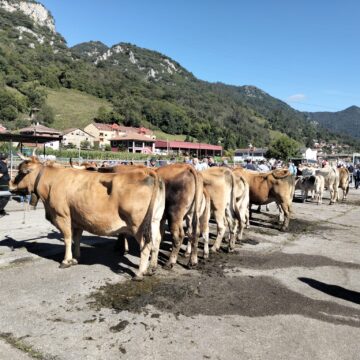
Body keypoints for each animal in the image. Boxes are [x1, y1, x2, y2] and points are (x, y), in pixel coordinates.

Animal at [9, 154, 165, 278]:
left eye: (21, 171)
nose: (10, 184)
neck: (52, 181)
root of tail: (149, 174)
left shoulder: (62, 215)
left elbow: (67, 238)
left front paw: (66, 261)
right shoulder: (78, 218)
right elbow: (77, 238)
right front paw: (76, 257)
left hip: (138, 225)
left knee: (146, 245)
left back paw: (140, 273)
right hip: (154, 220)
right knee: (156, 240)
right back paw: (152, 267)